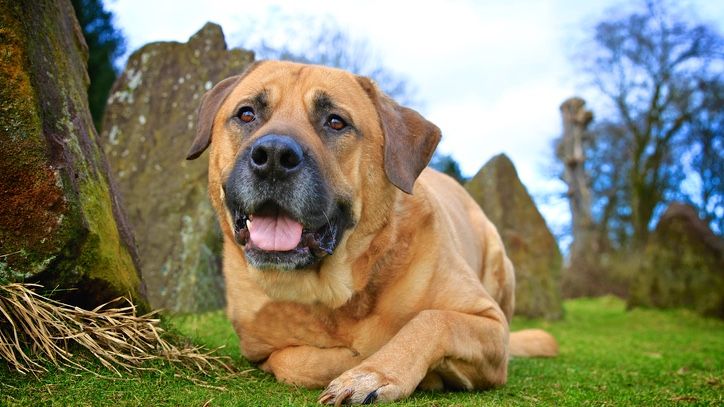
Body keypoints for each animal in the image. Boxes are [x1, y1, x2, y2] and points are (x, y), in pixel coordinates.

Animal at [184, 60, 556, 404]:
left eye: (336, 121)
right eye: (246, 114)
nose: (273, 156)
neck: (335, 292)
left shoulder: (491, 324)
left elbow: (433, 320)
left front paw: (374, 374)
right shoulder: (259, 347)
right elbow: (294, 361)